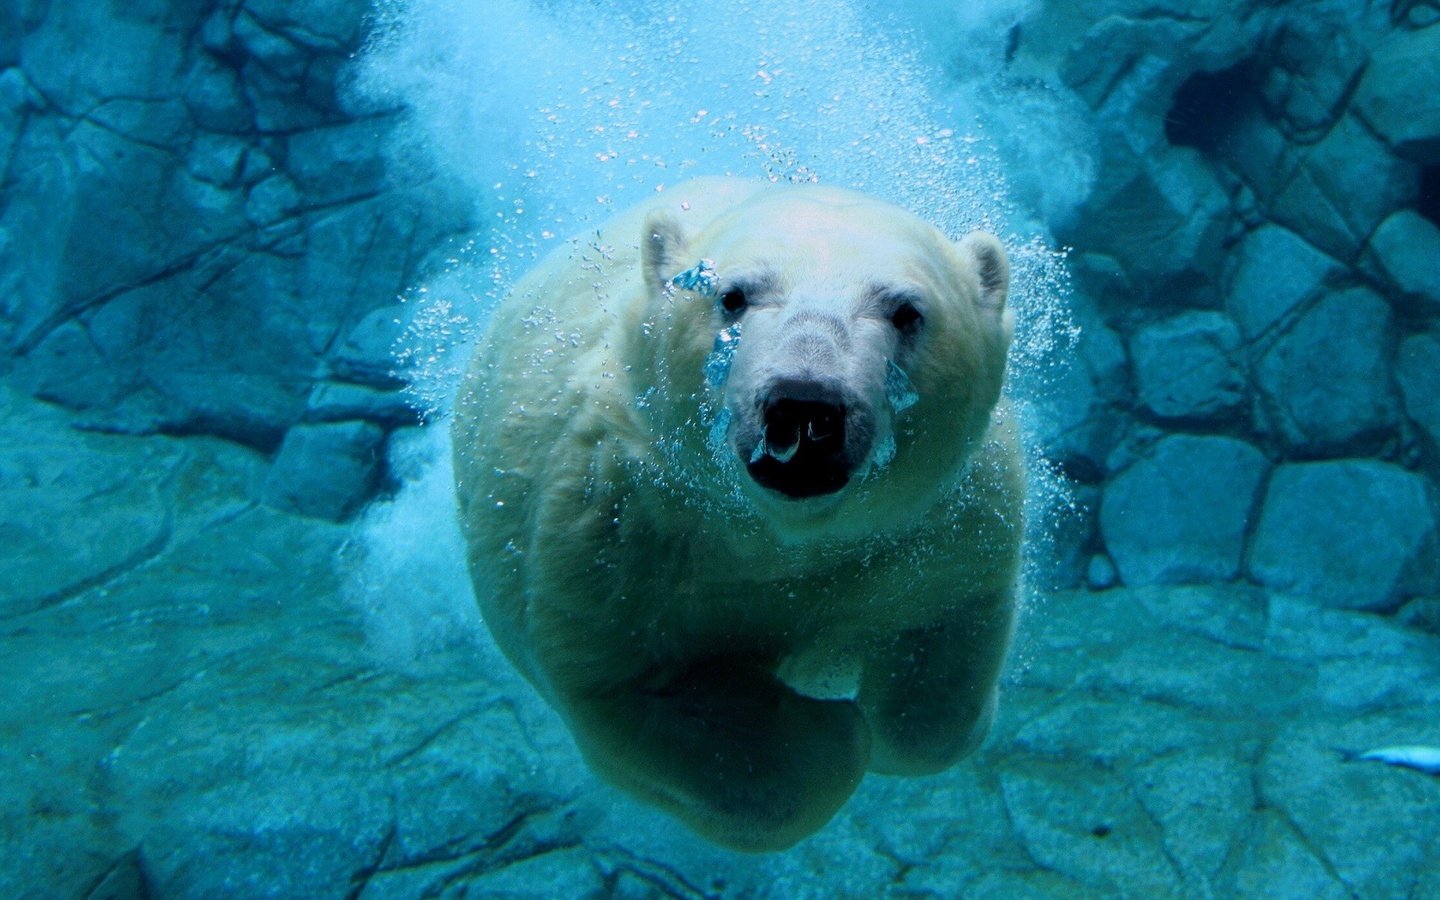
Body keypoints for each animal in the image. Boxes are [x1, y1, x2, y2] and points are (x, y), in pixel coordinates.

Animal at [452, 175, 1025, 846]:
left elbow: (940, 663)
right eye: (731, 296)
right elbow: (636, 691)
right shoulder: (614, 528)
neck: (777, 536)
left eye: (907, 311)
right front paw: (828, 730)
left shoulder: (940, 523)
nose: (805, 406)